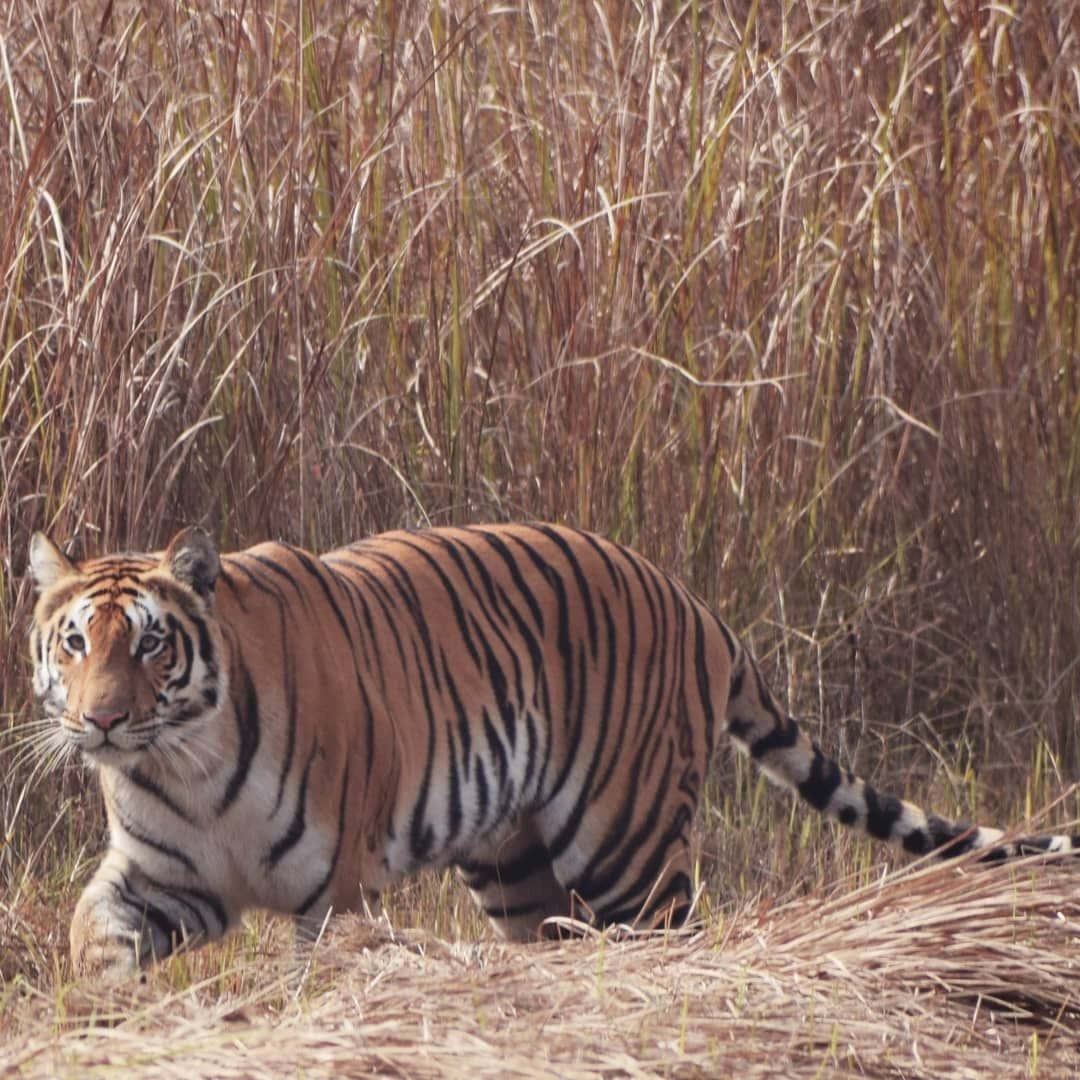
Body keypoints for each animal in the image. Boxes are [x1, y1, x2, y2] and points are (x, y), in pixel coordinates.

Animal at [27, 523, 1077, 977]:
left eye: (150, 645)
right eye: (74, 642)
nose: (101, 722)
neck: (184, 762)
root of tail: (701, 608)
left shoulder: (338, 896)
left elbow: (322, 973)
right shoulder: (162, 879)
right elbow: (91, 938)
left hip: (629, 846)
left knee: (670, 936)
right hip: (514, 865)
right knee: (551, 936)